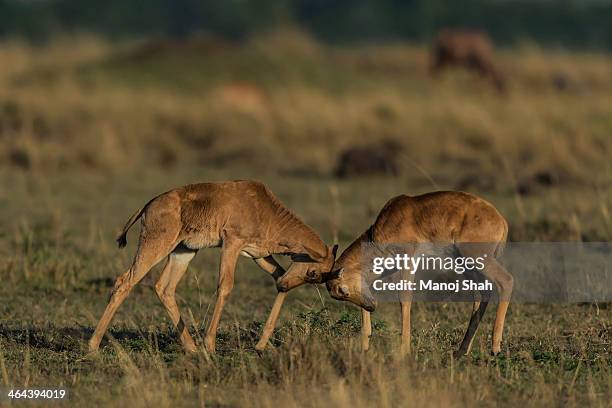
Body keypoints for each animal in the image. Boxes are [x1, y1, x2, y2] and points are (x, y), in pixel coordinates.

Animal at [88, 180, 338, 352]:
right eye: (313, 272)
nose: (285, 286)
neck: (261, 205)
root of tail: (148, 205)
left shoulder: (258, 255)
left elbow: (277, 276)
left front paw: (260, 345)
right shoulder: (231, 245)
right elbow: (225, 286)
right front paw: (210, 344)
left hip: (183, 252)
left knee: (164, 288)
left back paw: (191, 348)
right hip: (155, 247)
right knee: (124, 282)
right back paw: (93, 346)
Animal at [258, 190, 512, 356]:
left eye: (341, 289)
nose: (372, 307)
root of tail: (501, 220)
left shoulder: (407, 261)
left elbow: (404, 299)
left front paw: (404, 348)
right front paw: (365, 344)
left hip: (478, 261)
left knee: (506, 282)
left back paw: (495, 348)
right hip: (467, 265)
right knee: (482, 295)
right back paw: (462, 351)